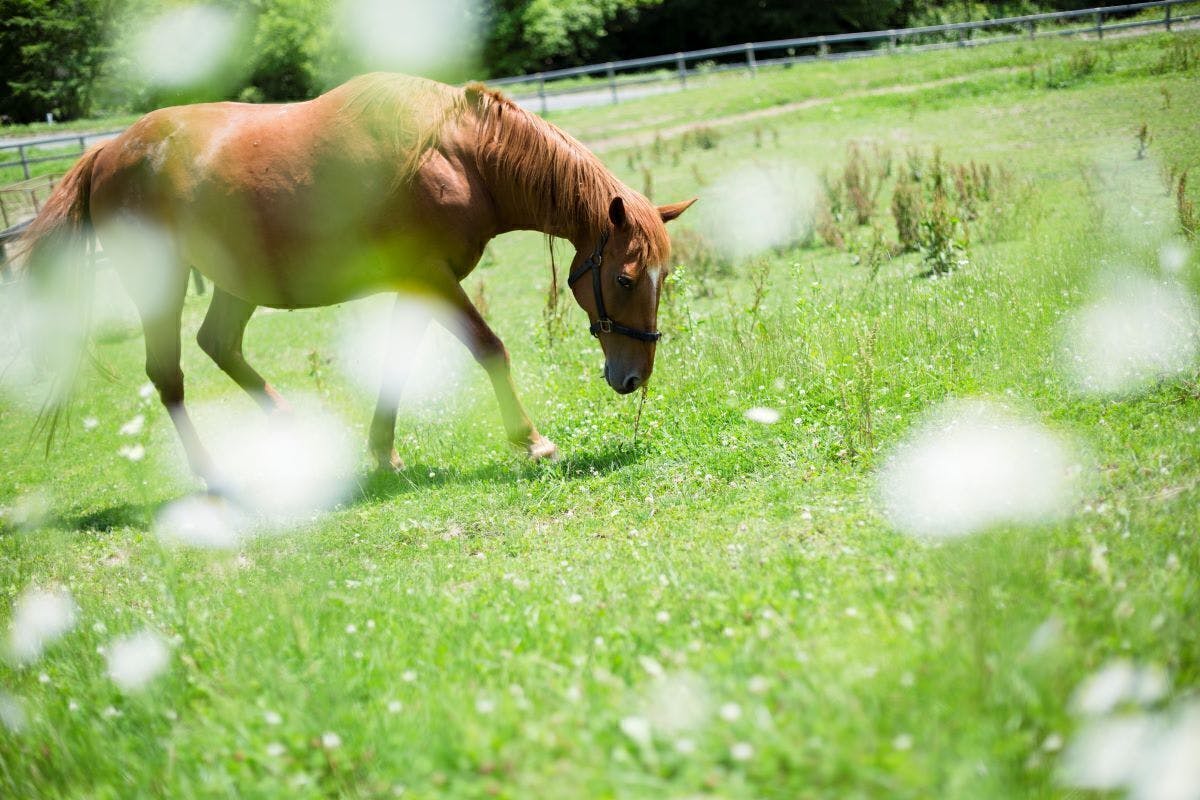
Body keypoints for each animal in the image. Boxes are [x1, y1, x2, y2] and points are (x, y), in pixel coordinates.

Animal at [18, 73, 696, 482]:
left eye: (664, 278)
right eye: (628, 280)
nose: (634, 376)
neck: (458, 156)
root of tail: (108, 150)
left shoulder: (418, 286)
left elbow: (396, 364)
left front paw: (380, 451)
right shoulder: (433, 279)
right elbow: (489, 349)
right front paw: (531, 441)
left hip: (235, 286)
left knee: (220, 345)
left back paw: (290, 430)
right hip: (161, 287)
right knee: (169, 376)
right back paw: (211, 475)